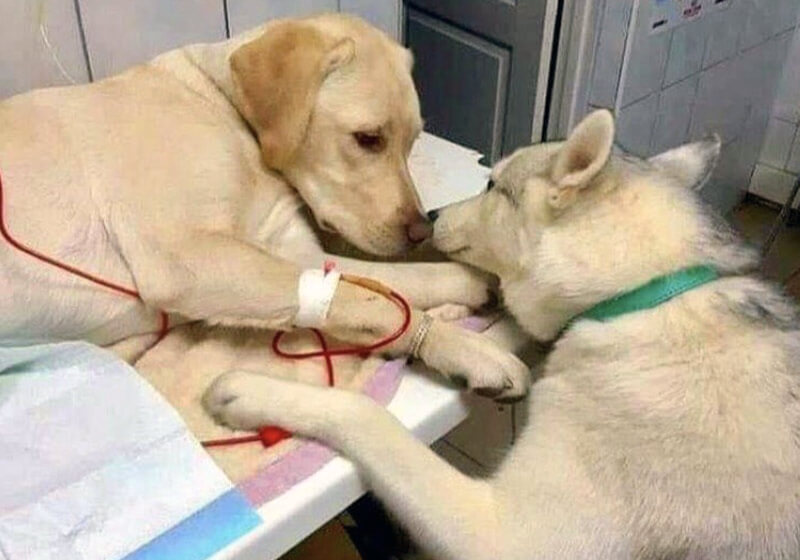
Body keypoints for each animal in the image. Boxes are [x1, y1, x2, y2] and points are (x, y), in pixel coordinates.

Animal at [0, 13, 532, 398]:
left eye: (414, 140)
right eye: (368, 139)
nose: (421, 230)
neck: (230, 116)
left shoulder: (296, 255)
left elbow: (397, 283)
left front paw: (473, 279)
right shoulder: (189, 259)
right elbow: (374, 302)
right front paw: (468, 350)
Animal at [205, 110, 800, 560]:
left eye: (492, 185)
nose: (432, 215)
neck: (645, 293)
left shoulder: (508, 538)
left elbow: (365, 415)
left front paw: (250, 392)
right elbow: (496, 328)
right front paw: (454, 330)